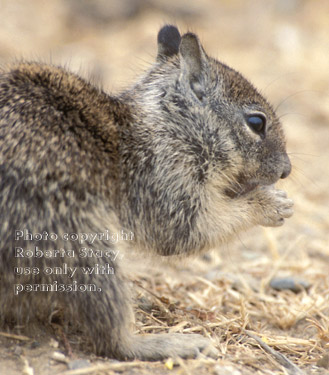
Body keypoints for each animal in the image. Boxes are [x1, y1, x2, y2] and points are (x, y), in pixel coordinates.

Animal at [0, 25, 292, 362]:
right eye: (256, 122)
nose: (286, 170)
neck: (170, 126)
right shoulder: (169, 189)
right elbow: (192, 231)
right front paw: (271, 204)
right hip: (81, 244)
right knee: (112, 338)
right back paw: (170, 343)